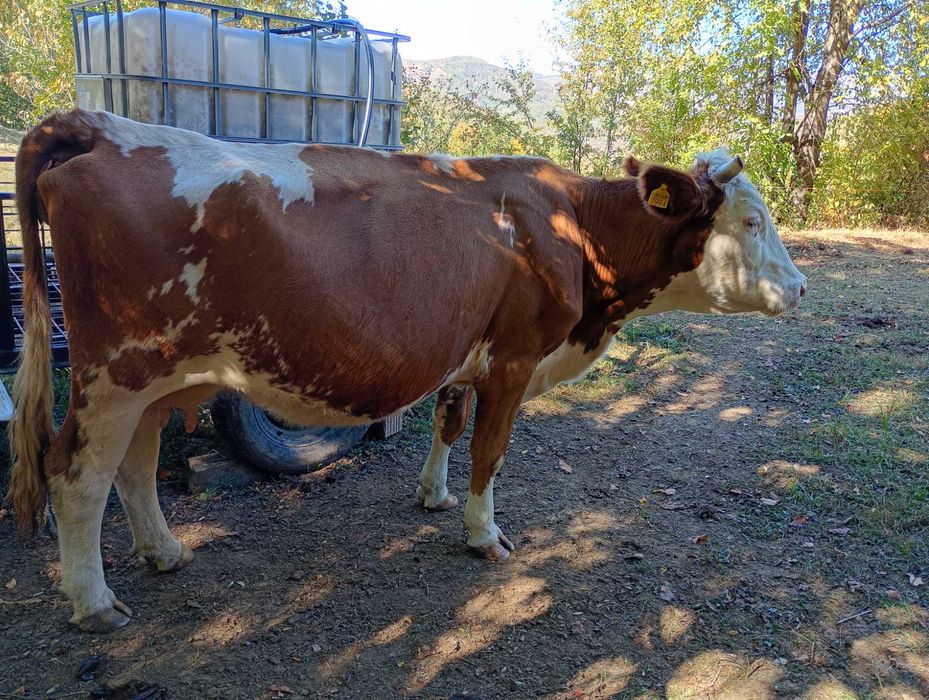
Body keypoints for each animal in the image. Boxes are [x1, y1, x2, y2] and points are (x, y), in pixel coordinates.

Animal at [7, 109, 805, 632]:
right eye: (751, 222)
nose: (800, 288)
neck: (573, 227)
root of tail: (105, 126)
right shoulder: (515, 358)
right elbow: (490, 450)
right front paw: (484, 535)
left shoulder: (465, 351)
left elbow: (449, 422)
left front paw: (433, 496)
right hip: (115, 373)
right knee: (76, 473)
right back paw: (94, 604)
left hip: (153, 380)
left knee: (134, 466)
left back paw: (164, 552)